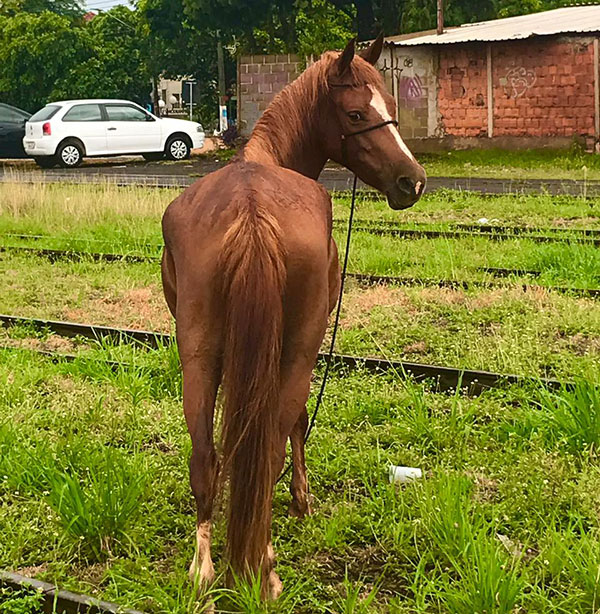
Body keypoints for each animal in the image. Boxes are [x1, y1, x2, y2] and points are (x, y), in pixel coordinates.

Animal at [161, 36, 426, 600]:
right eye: (355, 113)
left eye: (391, 106)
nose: (412, 181)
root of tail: (250, 209)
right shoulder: (306, 348)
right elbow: (300, 425)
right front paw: (302, 501)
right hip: (298, 352)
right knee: (272, 450)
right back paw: (263, 563)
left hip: (197, 355)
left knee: (206, 459)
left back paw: (204, 568)